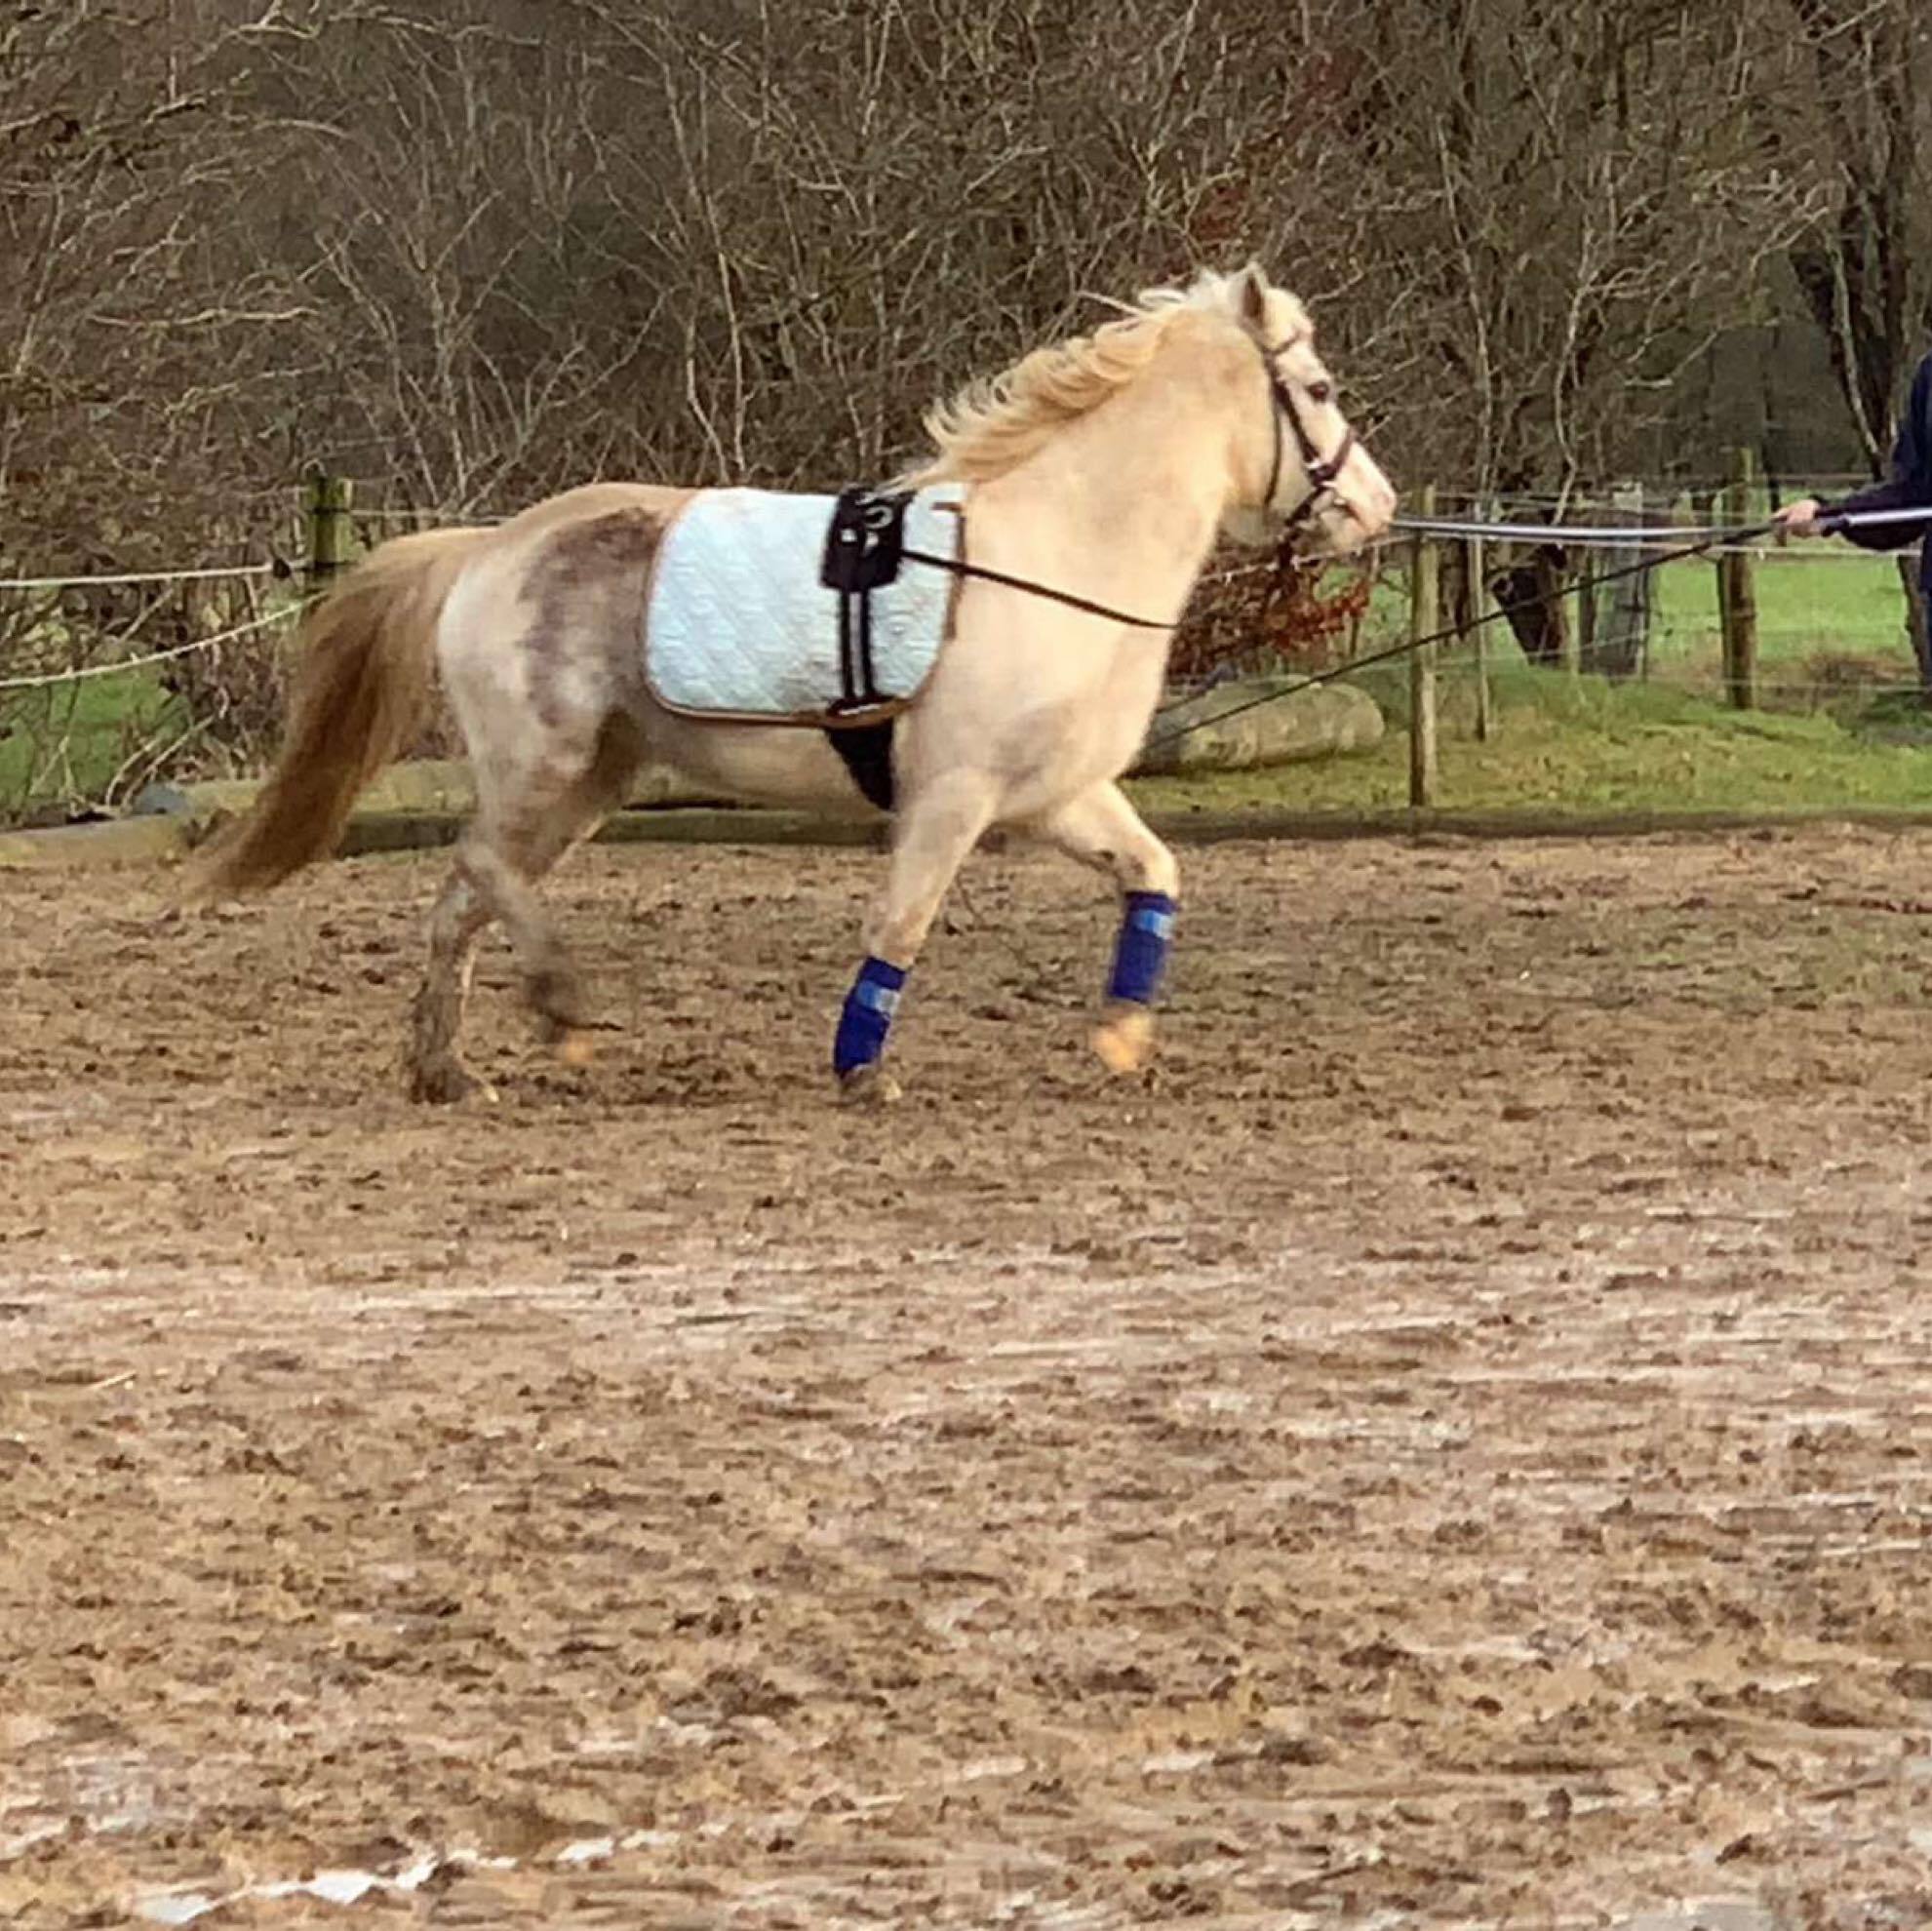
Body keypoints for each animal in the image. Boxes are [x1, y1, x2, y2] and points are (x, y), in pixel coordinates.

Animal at [197, 263, 1396, 1104]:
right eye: (1318, 387)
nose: (1375, 508)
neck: (1057, 554)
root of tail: (489, 548)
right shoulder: (950, 797)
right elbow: (901, 924)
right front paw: (863, 1069)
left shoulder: (1058, 797)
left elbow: (1154, 877)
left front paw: (1120, 1034)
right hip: (546, 767)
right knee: (480, 868)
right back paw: (562, 1007)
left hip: (593, 780)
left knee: (462, 901)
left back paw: (448, 1069)